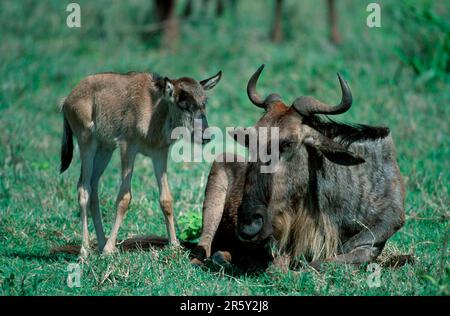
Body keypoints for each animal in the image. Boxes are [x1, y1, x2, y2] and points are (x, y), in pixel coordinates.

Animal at [59, 69, 221, 256]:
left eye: (204, 103)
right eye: (184, 105)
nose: (206, 136)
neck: (154, 111)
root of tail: (68, 99)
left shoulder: (159, 153)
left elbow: (166, 199)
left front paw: (174, 245)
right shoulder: (127, 147)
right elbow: (124, 198)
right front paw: (109, 249)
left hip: (105, 149)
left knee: (93, 188)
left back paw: (100, 243)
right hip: (87, 142)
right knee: (83, 188)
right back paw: (85, 250)